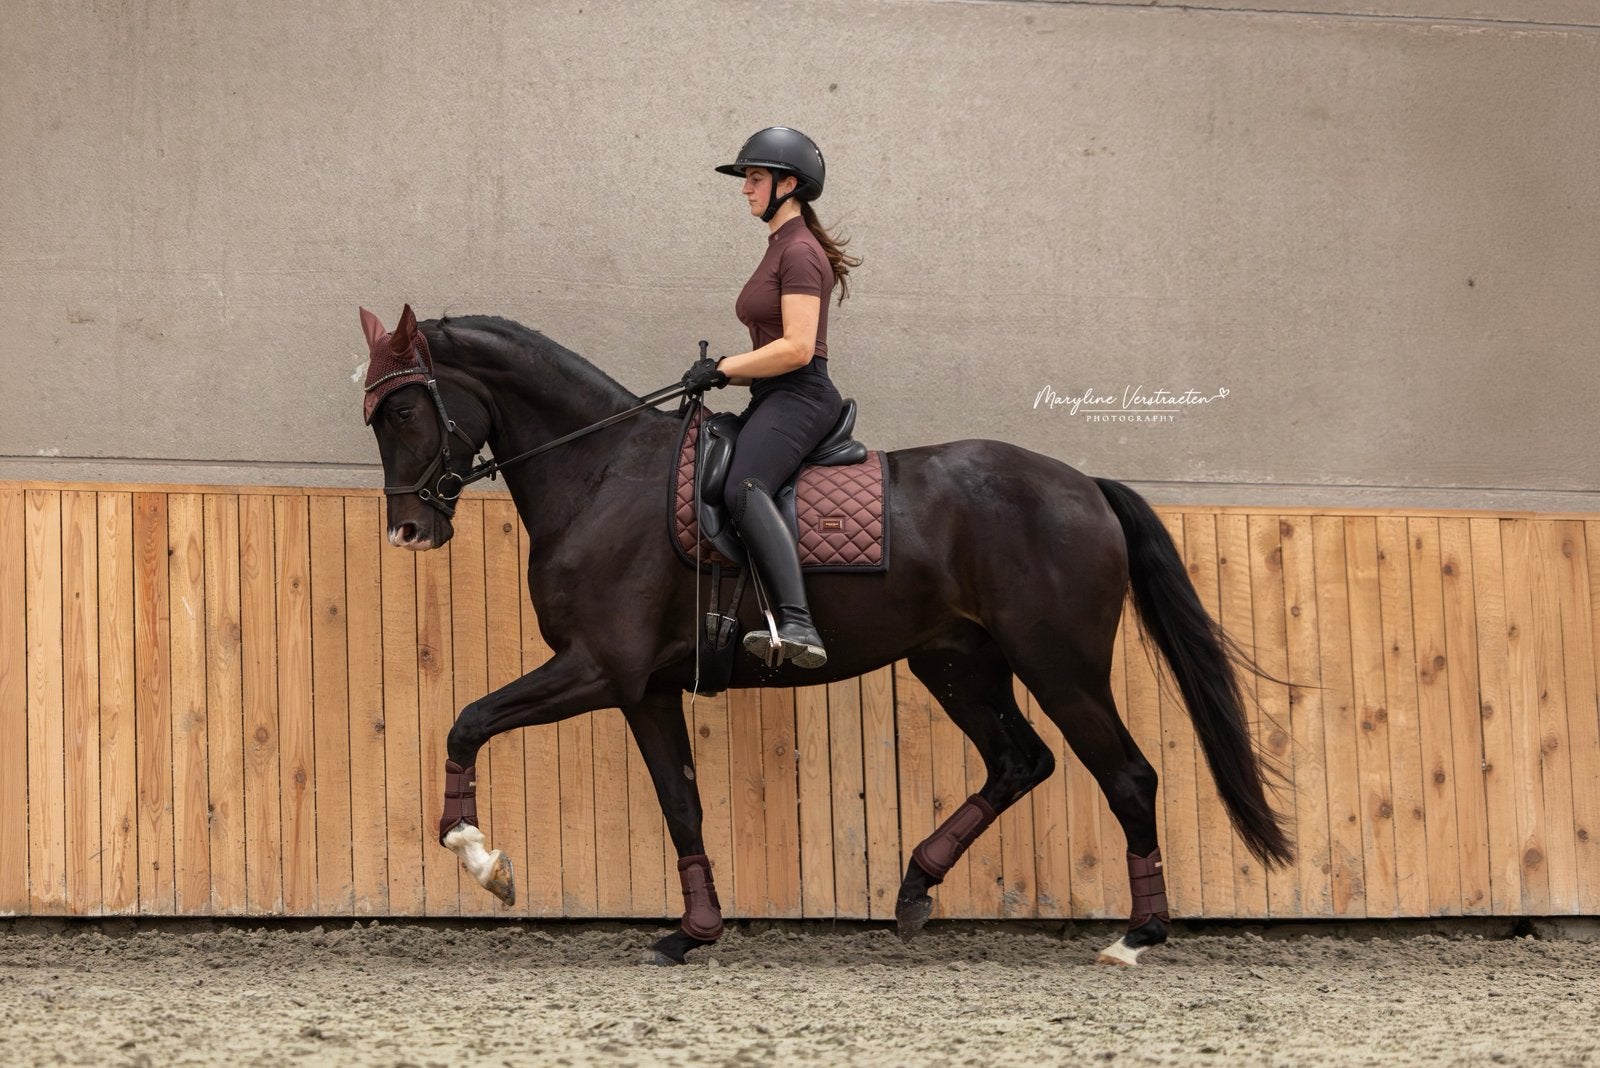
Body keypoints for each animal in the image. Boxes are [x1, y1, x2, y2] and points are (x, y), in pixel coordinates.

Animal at [356, 304, 1294, 966]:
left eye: (402, 411)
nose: (409, 531)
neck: (604, 473)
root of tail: (1087, 486)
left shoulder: (597, 668)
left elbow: (468, 720)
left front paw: (480, 858)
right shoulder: (645, 687)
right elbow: (682, 805)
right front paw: (696, 930)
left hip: (1059, 667)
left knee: (1127, 776)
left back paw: (1137, 937)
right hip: (958, 664)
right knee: (1019, 761)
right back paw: (915, 887)